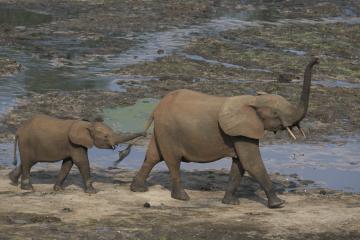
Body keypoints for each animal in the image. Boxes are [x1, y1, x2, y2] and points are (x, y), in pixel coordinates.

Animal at [8, 114, 143, 193]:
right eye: (105, 136)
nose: (144, 133)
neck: (88, 124)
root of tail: (18, 130)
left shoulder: (75, 145)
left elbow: (68, 163)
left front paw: (59, 190)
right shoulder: (74, 143)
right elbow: (81, 161)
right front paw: (93, 191)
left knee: (27, 162)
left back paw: (12, 180)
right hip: (27, 143)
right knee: (28, 163)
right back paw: (28, 188)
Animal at [131, 57, 320, 207]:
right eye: (275, 114)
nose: (316, 59)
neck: (253, 100)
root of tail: (156, 108)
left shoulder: (242, 132)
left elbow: (239, 165)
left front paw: (230, 203)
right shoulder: (242, 131)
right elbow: (252, 163)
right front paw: (278, 204)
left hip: (162, 130)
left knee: (152, 157)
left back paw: (137, 189)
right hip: (169, 131)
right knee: (173, 162)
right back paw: (183, 198)